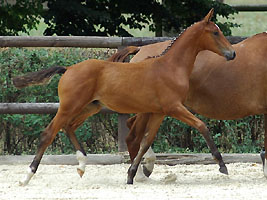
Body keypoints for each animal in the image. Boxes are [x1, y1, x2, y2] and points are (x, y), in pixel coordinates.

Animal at [13, 8, 234, 185]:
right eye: (215, 32)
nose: (232, 54)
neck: (170, 67)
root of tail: (68, 69)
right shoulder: (174, 108)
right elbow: (202, 126)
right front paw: (222, 165)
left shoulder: (159, 112)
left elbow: (145, 142)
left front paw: (131, 174)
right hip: (69, 106)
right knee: (48, 134)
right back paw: (26, 177)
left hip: (90, 106)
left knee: (69, 127)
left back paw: (82, 165)